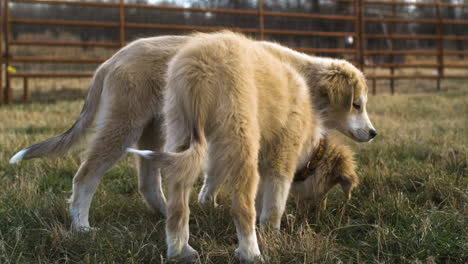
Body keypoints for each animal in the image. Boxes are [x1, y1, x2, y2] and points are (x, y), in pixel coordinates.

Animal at [129, 31, 376, 262]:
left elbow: (248, 190)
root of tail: (198, 70)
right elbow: (274, 200)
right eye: (357, 105)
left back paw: (180, 251)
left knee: (177, 202)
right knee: (242, 206)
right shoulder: (282, 152)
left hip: (179, 127)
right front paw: (273, 233)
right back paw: (251, 253)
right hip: (240, 134)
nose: (317, 215)